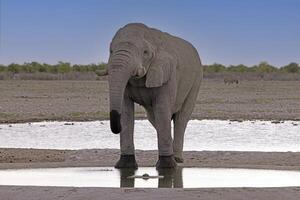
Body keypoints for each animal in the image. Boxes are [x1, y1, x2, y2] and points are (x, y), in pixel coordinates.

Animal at [102, 22, 203, 168]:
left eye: (145, 53)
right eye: (110, 51)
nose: (116, 128)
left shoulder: (167, 73)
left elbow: (162, 108)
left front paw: (167, 166)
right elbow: (126, 111)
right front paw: (125, 166)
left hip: (196, 81)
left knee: (181, 118)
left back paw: (177, 159)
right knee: (155, 118)